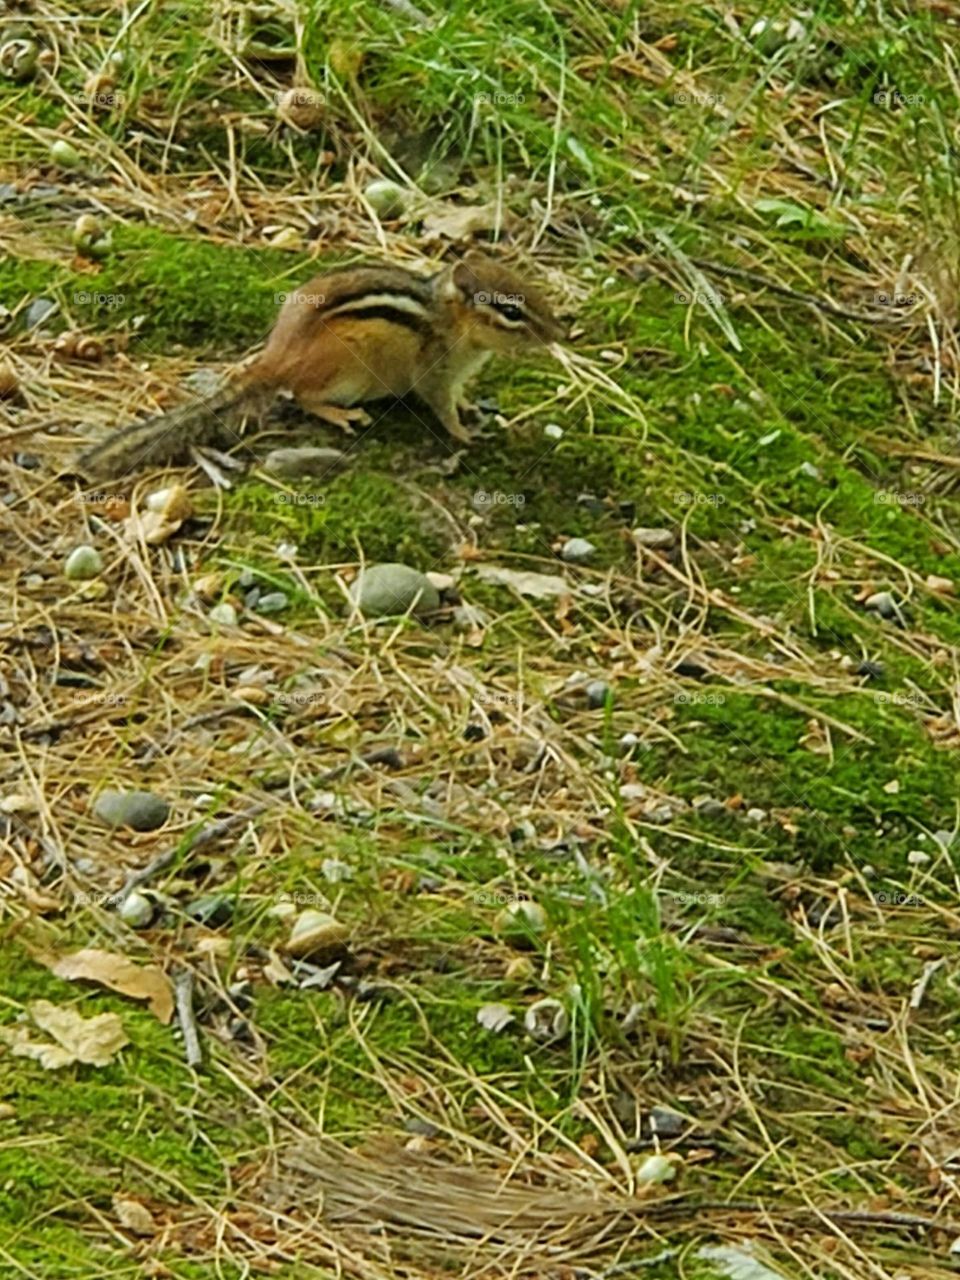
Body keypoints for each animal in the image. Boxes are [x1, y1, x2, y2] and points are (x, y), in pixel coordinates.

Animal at [77, 250, 566, 478]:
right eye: (511, 310)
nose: (559, 332)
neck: (451, 321)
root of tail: (275, 359)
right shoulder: (435, 372)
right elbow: (440, 407)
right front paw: (463, 433)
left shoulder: (456, 376)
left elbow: (459, 397)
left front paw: (470, 409)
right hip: (348, 371)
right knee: (303, 395)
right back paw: (339, 414)